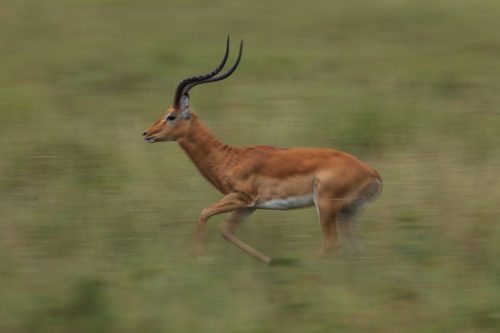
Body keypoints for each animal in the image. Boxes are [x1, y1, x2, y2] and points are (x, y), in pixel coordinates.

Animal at [143, 37, 380, 264]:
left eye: (171, 116)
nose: (147, 133)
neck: (228, 158)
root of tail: (372, 173)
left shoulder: (242, 197)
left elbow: (205, 213)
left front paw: (198, 256)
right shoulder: (249, 207)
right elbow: (226, 229)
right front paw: (266, 259)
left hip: (325, 207)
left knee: (332, 244)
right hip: (348, 214)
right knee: (358, 247)